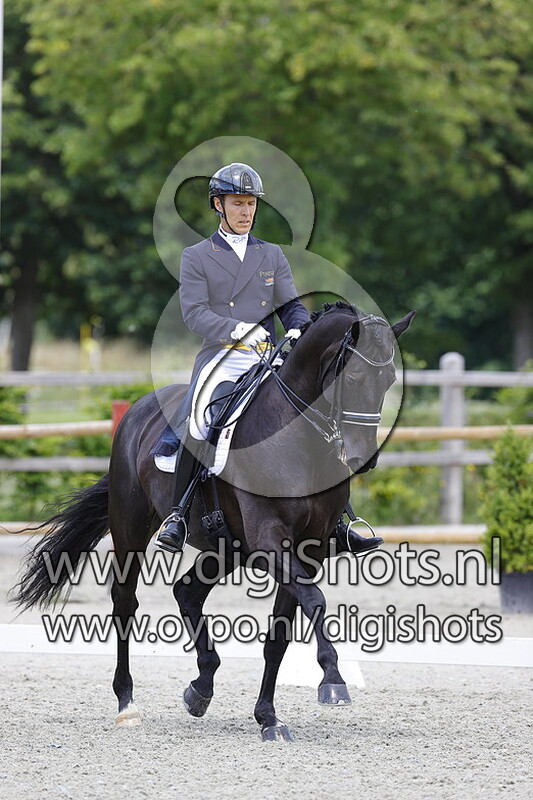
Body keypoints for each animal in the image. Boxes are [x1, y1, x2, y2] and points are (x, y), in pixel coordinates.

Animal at [11, 301, 415, 742]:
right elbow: (316, 600)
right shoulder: (271, 540)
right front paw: (333, 680)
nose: (363, 458)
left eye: (389, 379)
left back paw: (200, 687)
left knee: (186, 592)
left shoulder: (306, 549)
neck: (296, 438)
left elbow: (279, 635)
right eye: (354, 377)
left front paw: (268, 718)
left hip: (225, 546)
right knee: (125, 602)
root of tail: (138, 409)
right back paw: (127, 703)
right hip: (131, 525)